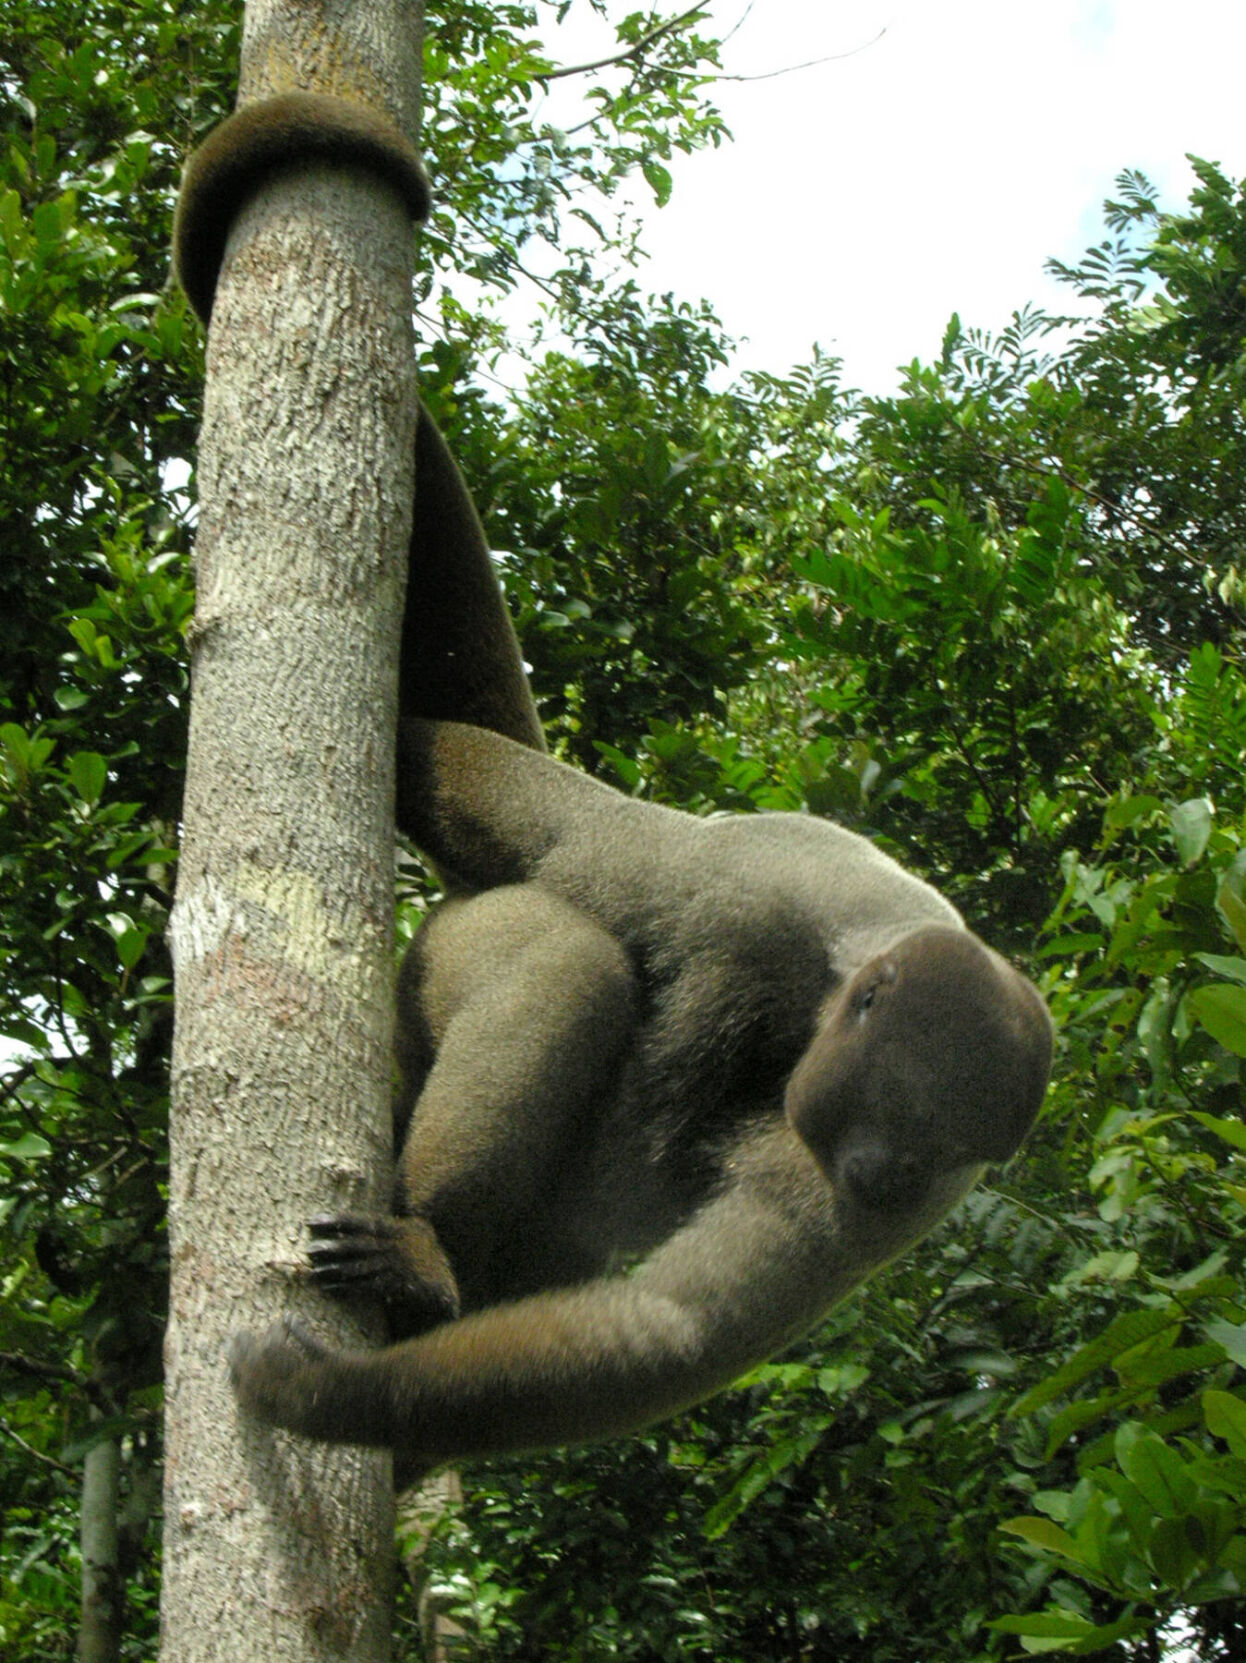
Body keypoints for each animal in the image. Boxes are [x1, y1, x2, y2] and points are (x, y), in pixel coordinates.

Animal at [174, 95, 1054, 1474]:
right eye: (905, 1113)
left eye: (931, 1155)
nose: (873, 1181)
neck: (855, 954)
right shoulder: (745, 881)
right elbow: (519, 813)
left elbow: (671, 1331)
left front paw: (333, 1402)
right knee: (557, 942)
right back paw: (429, 1249)